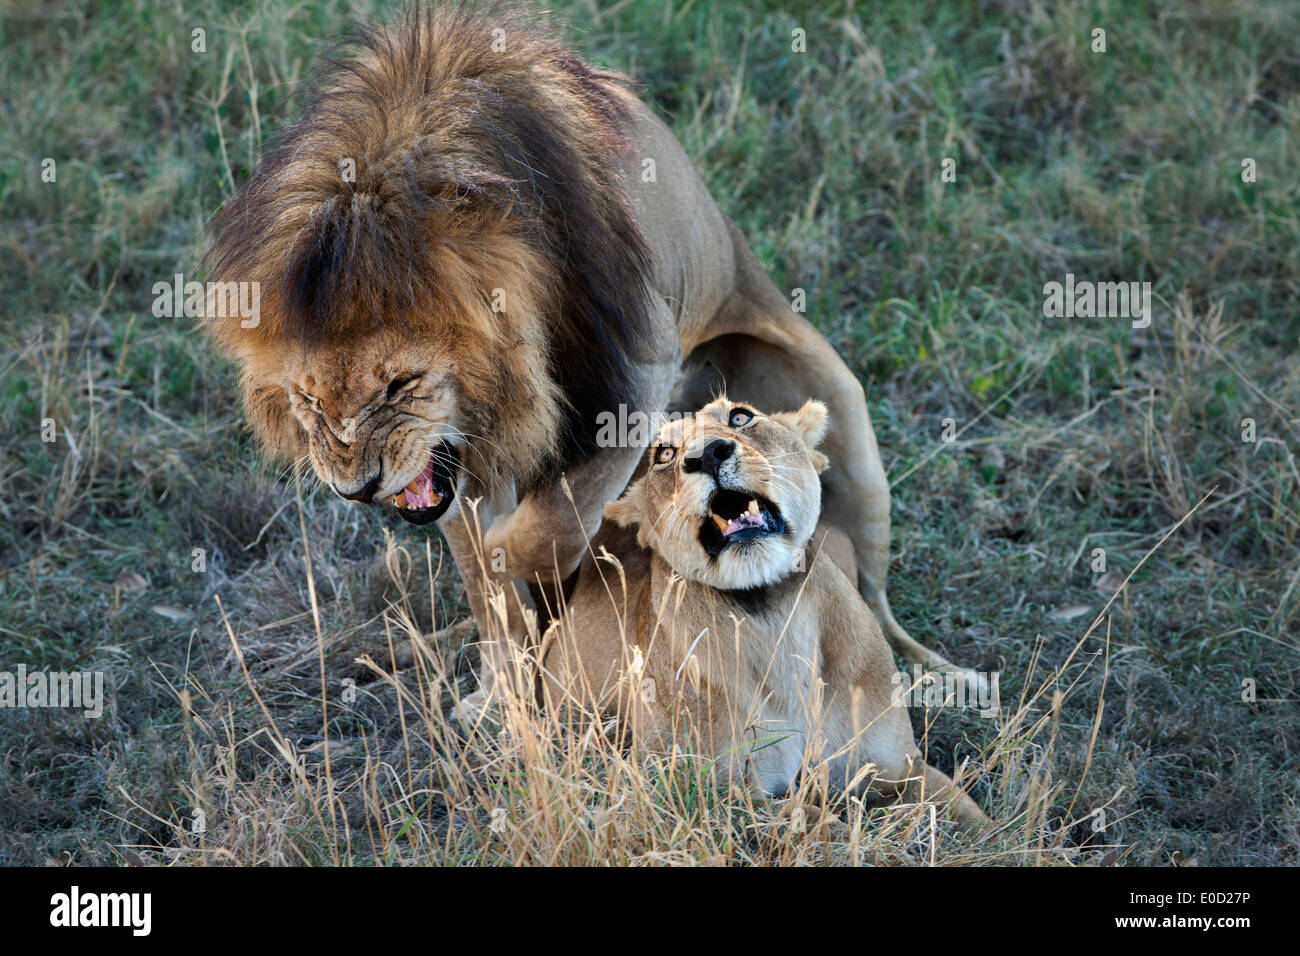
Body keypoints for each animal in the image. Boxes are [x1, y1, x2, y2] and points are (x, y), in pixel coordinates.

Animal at [205, 1, 967, 702]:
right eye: (308, 399)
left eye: (399, 384)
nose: (356, 489)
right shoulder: (466, 462)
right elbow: (487, 585)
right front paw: (502, 693)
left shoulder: (636, 370)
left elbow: (558, 517)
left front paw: (517, 553)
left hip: (851, 440)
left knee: (869, 598)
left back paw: (937, 675)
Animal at [540, 395, 982, 822]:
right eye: (664, 454)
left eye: (739, 418)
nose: (707, 454)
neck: (772, 617)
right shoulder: (707, 798)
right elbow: (817, 823)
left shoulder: (901, 770)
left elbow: (974, 819)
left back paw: (964, 679)